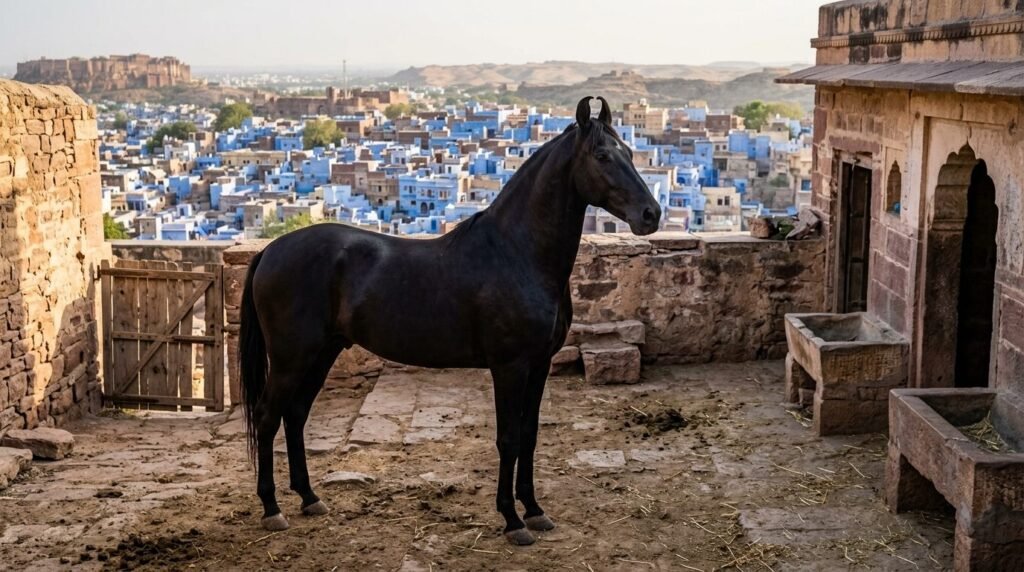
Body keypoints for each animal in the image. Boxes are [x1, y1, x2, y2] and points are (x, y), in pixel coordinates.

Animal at [239, 96, 662, 545]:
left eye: (630, 152)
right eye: (602, 156)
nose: (650, 214)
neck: (517, 253)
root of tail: (269, 251)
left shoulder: (540, 365)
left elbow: (529, 436)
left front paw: (534, 510)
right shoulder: (509, 367)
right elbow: (508, 438)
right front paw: (512, 519)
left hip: (321, 353)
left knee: (296, 413)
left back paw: (309, 497)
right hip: (291, 358)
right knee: (267, 416)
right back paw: (272, 507)